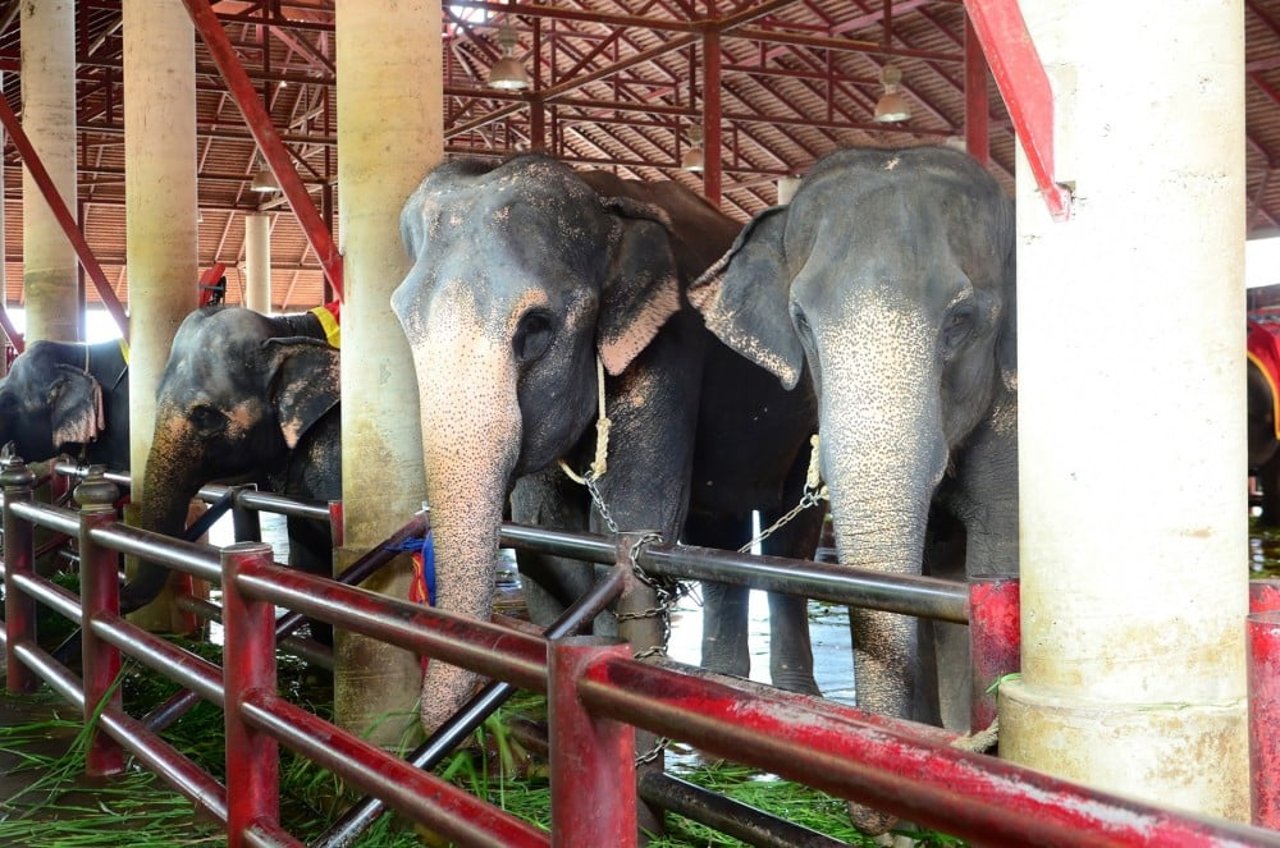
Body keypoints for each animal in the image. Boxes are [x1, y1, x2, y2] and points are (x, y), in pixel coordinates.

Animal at [389, 154, 824, 737]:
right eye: (403, 322)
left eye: (535, 327)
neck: (602, 199)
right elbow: (548, 539)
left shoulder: (669, 340)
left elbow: (633, 519)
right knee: (719, 534)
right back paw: (720, 693)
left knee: (791, 538)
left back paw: (790, 698)